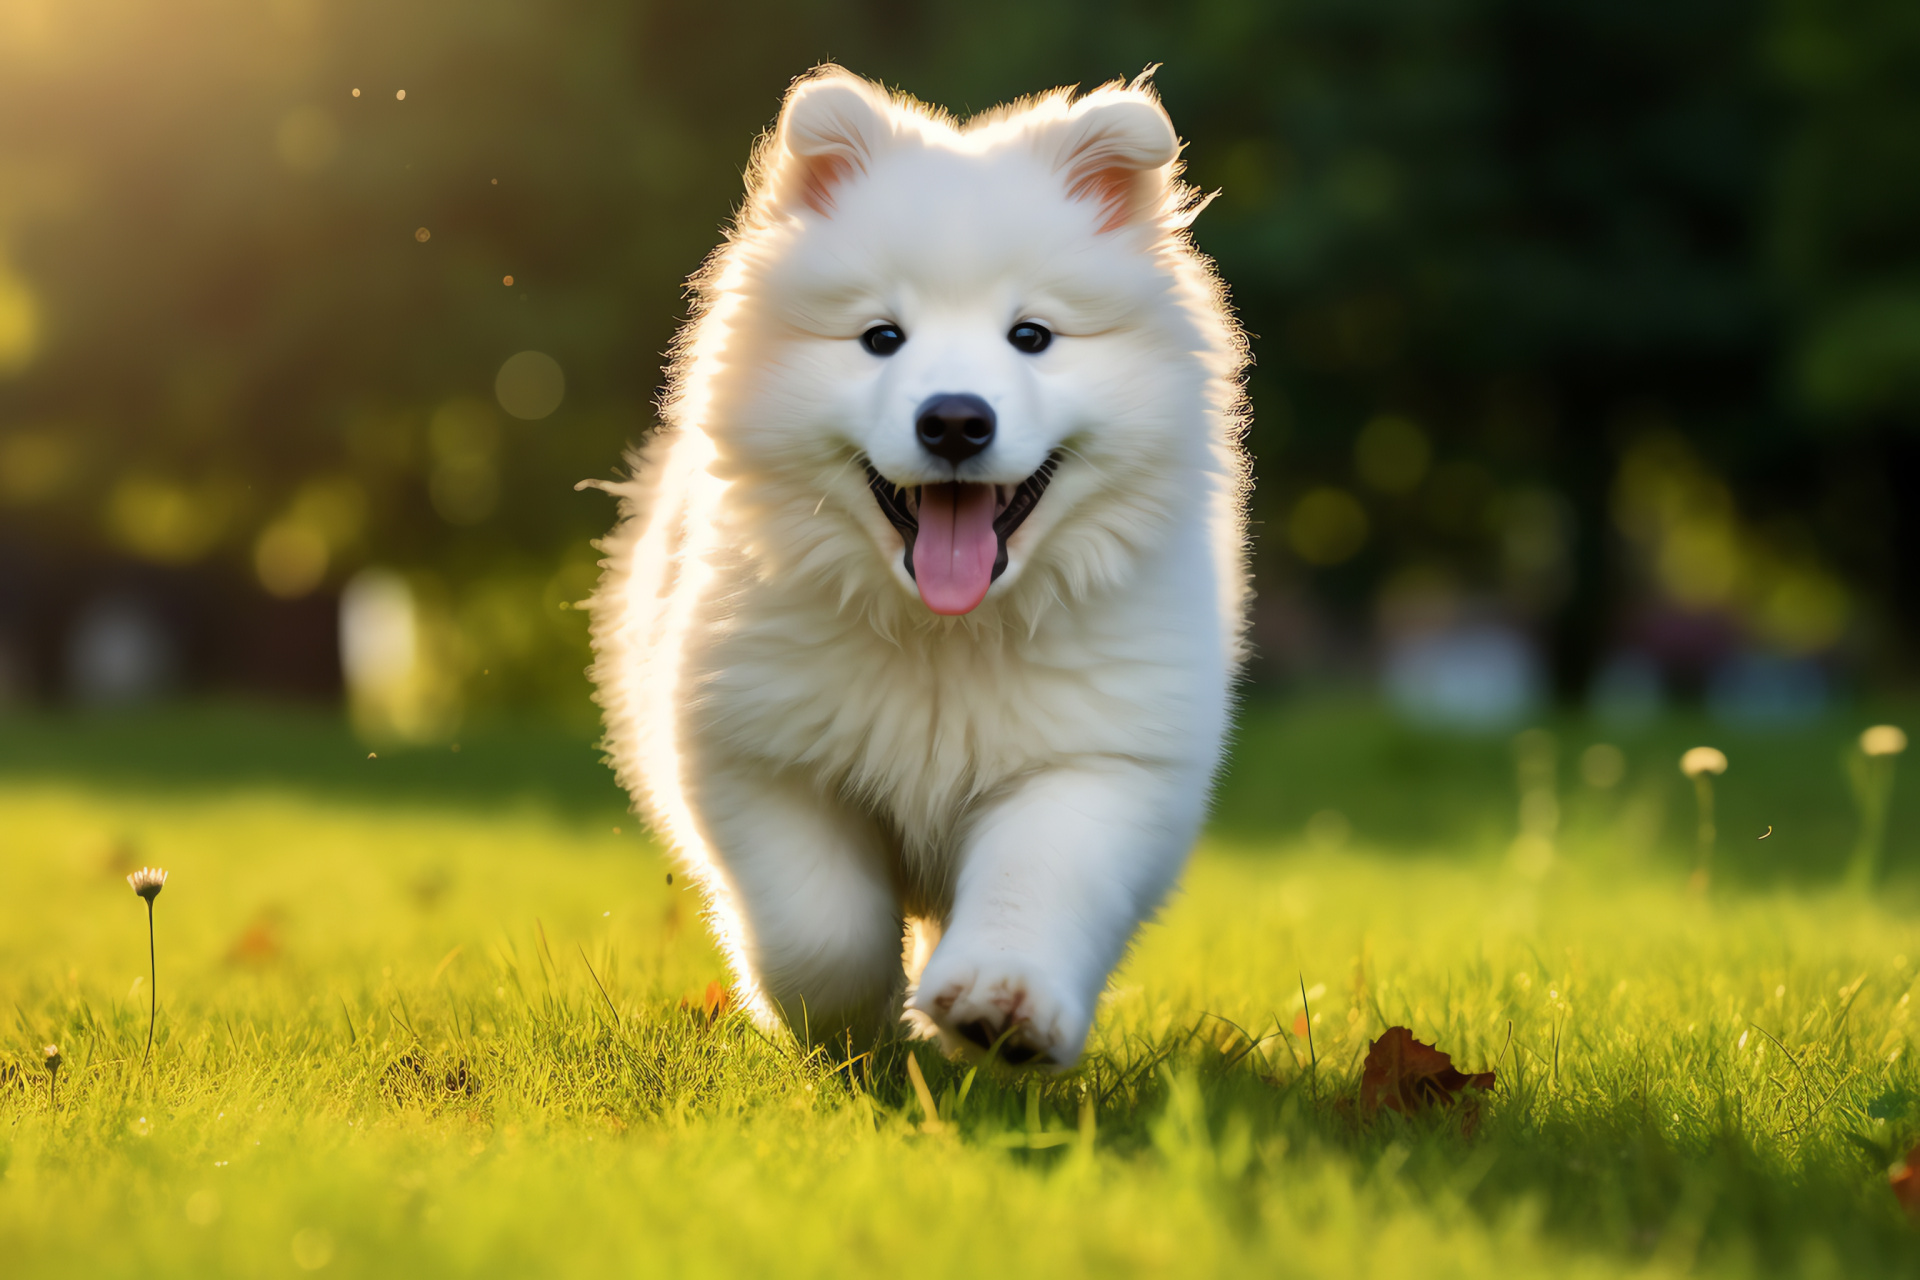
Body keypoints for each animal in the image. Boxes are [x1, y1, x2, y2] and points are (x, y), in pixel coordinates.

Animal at [583, 65, 1244, 1066]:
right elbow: (821, 924)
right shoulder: (761, 753)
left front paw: (1000, 1008)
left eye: (1032, 337)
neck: (946, 638)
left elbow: (1035, 880)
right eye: (881, 338)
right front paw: (853, 1028)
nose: (956, 420)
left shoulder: (1098, 760)